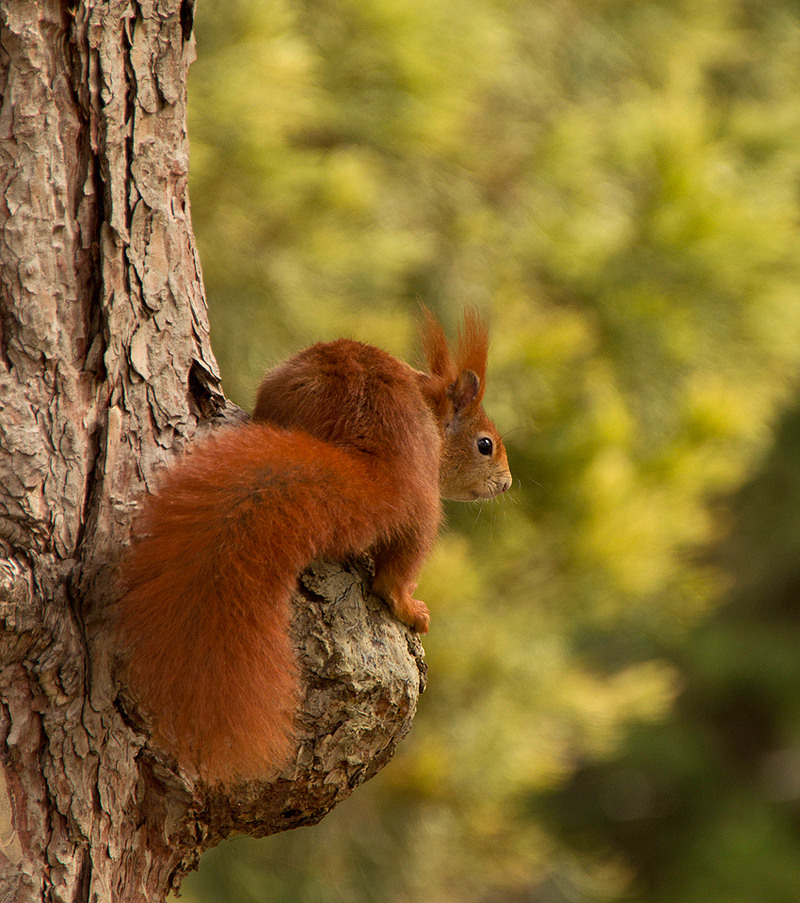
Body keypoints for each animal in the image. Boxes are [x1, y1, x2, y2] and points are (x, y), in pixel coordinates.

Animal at [115, 308, 510, 784]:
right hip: (422, 509)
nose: (507, 484)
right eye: (485, 445)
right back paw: (409, 606)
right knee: (394, 576)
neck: (430, 402)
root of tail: (380, 468)